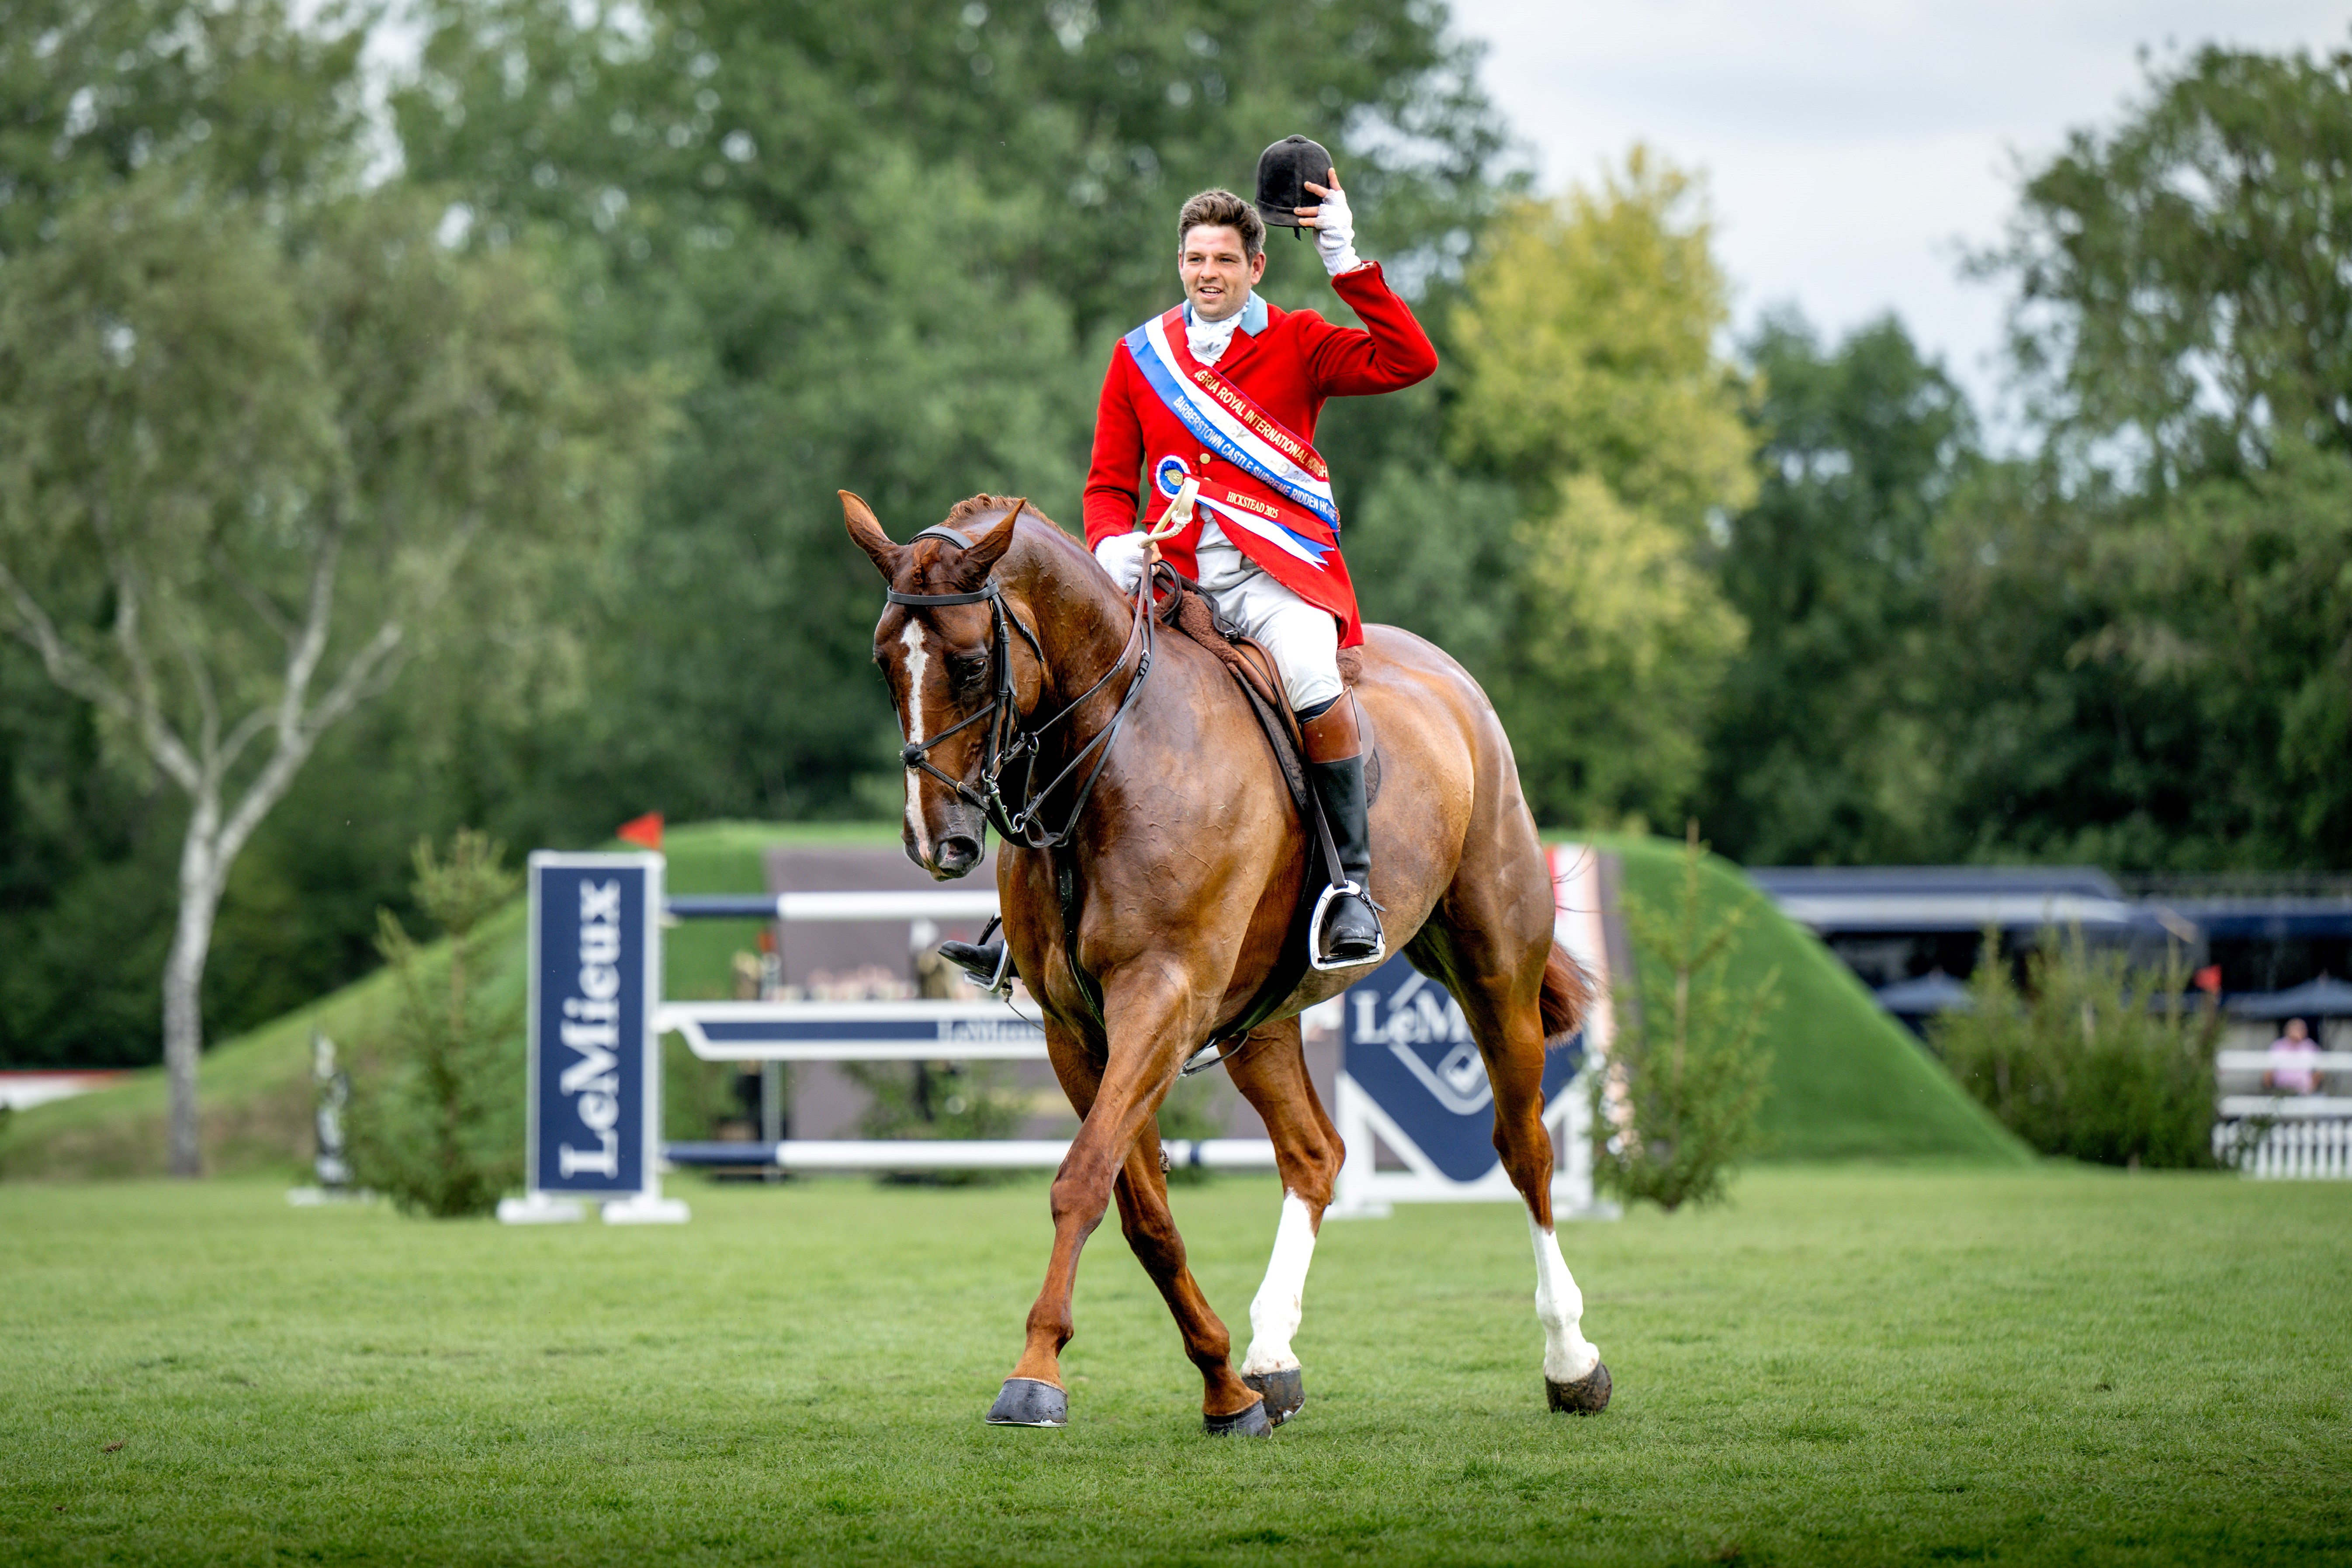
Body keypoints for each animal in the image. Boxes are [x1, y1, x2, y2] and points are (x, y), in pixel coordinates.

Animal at [843, 489, 1613, 1434]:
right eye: (885, 663)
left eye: (971, 662)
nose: (935, 841)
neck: (1101, 764)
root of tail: (1450, 678)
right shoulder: (1078, 1031)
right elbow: (1143, 1212)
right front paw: (1222, 1384)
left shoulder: (1159, 999)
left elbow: (1083, 1180)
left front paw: (1034, 1372)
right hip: (1261, 1019)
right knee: (1315, 1154)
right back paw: (1271, 1356)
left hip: (1493, 970)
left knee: (1522, 1146)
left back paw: (1571, 1359)